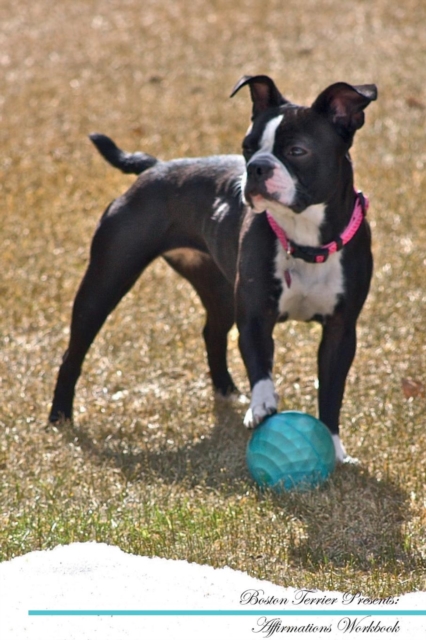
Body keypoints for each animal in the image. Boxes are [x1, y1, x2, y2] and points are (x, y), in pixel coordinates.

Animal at [49, 77, 376, 462]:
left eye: (297, 151)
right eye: (247, 148)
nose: (256, 168)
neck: (306, 240)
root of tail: (155, 167)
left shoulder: (341, 331)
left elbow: (331, 391)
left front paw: (335, 448)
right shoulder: (255, 317)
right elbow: (260, 364)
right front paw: (262, 405)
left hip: (218, 290)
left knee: (212, 333)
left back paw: (226, 390)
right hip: (105, 281)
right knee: (74, 350)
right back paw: (59, 416)